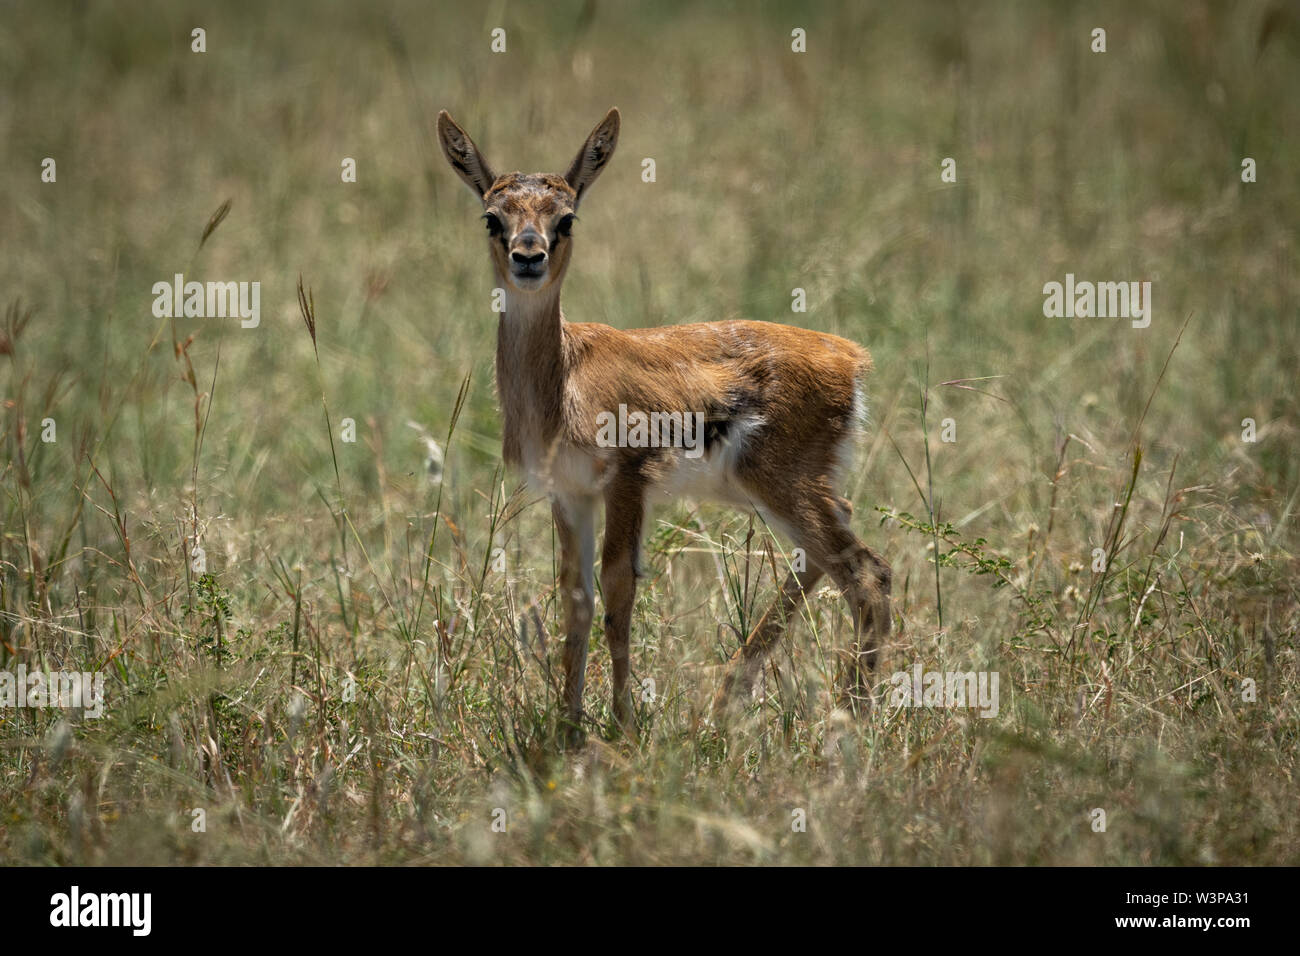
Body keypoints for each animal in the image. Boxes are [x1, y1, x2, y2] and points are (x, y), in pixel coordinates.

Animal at [437, 108, 891, 742]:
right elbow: (575, 599)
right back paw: (728, 703)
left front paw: (624, 729)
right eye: (491, 216)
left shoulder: (626, 482)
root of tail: (849, 357)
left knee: (868, 575)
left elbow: (618, 593)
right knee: (831, 554)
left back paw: (846, 723)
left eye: (566, 217)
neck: (564, 380)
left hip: (781, 488)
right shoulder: (570, 494)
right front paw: (569, 727)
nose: (530, 256)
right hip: (774, 491)